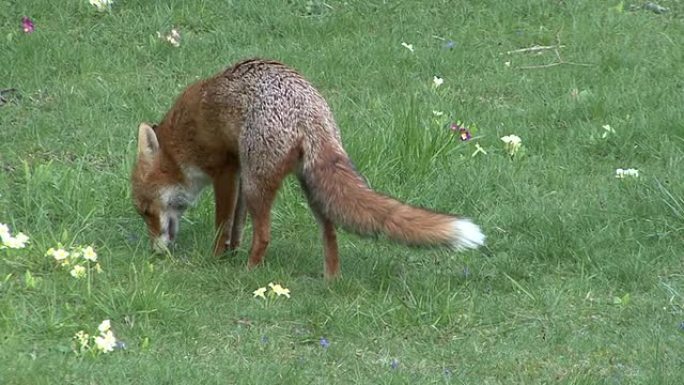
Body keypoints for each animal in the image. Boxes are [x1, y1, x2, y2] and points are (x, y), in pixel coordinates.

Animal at [132, 58, 486, 278]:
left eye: (145, 211)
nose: (155, 252)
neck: (181, 141)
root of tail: (309, 111)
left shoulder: (226, 171)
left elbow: (224, 224)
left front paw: (218, 259)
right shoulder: (240, 173)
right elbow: (237, 224)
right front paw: (230, 252)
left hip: (260, 184)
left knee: (264, 235)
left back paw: (250, 272)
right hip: (308, 187)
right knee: (330, 233)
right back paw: (331, 280)